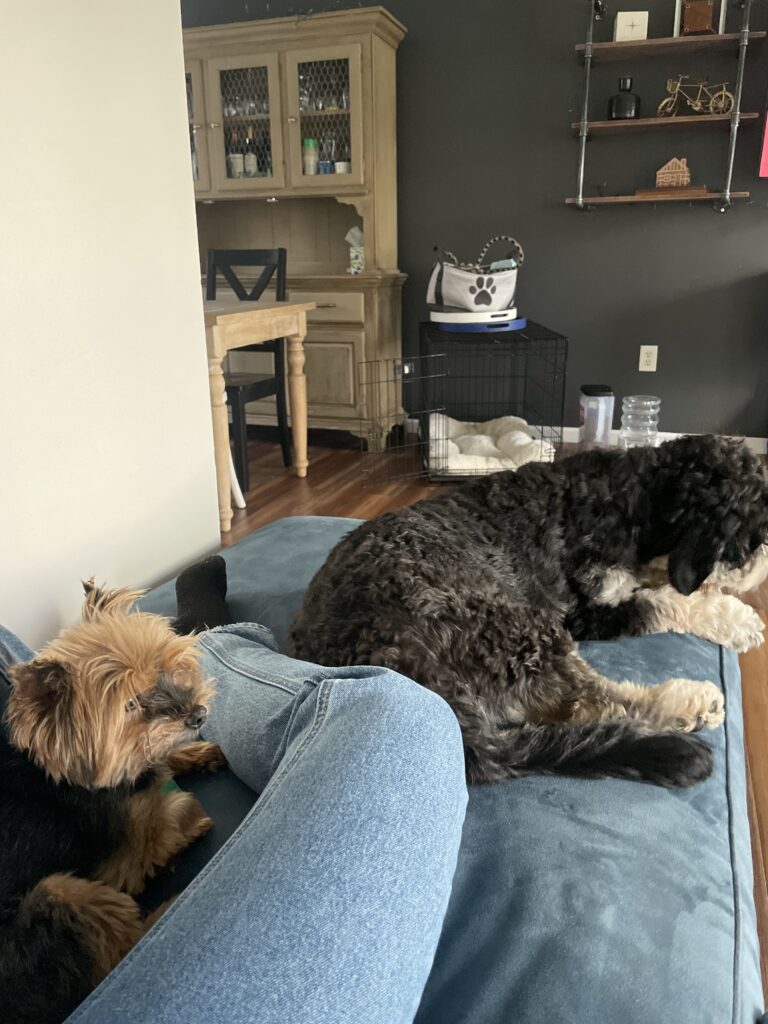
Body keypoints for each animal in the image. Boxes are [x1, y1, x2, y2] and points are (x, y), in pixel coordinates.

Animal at [0, 580, 224, 1024]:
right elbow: (164, 819)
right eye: (131, 704)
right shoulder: (121, 865)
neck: (71, 777)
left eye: (165, 669)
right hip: (58, 897)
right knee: (118, 956)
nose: (197, 714)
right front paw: (187, 818)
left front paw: (193, 754)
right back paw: (166, 914)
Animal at [288, 435, 768, 788]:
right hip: (515, 630)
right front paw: (739, 619)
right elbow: (665, 601)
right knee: (598, 703)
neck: (635, 502)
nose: (763, 567)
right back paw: (690, 702)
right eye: (757, 535)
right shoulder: (582, 610)